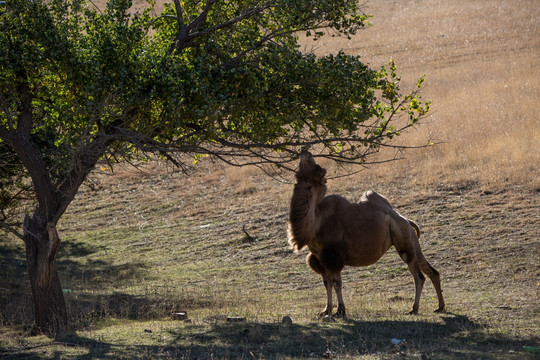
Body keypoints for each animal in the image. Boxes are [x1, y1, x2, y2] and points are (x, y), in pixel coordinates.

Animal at [288, 153, 446, 316]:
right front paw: (326, 310)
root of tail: (406, 220)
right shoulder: (320, 258)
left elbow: (337, 283)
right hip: (412, 241)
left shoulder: (333, 256)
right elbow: (327, 283)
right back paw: (440, 307)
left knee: (419, 276)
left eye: (316, 167)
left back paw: (414, 309)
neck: (316, 222)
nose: (305, 153)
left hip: (405, 242)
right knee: (432, 271)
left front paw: (340, 311)